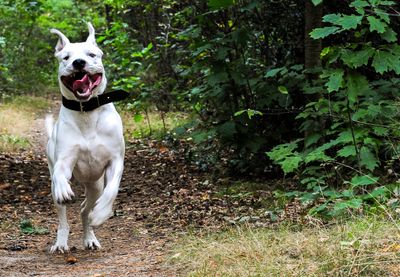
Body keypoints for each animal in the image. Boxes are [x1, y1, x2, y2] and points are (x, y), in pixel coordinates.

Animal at [45, 22, 123, 252]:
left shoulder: (115, 160)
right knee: (63, 216)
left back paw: (90, 236)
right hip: (55, 185)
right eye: (66, 57)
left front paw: (102, 213)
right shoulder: (64, 159)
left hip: (95, 186)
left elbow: (112, 189)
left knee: (84, 210)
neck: (86, 111)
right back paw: (61, 242)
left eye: (91, 54)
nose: (79, 62)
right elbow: (61, 172)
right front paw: (64, 188)